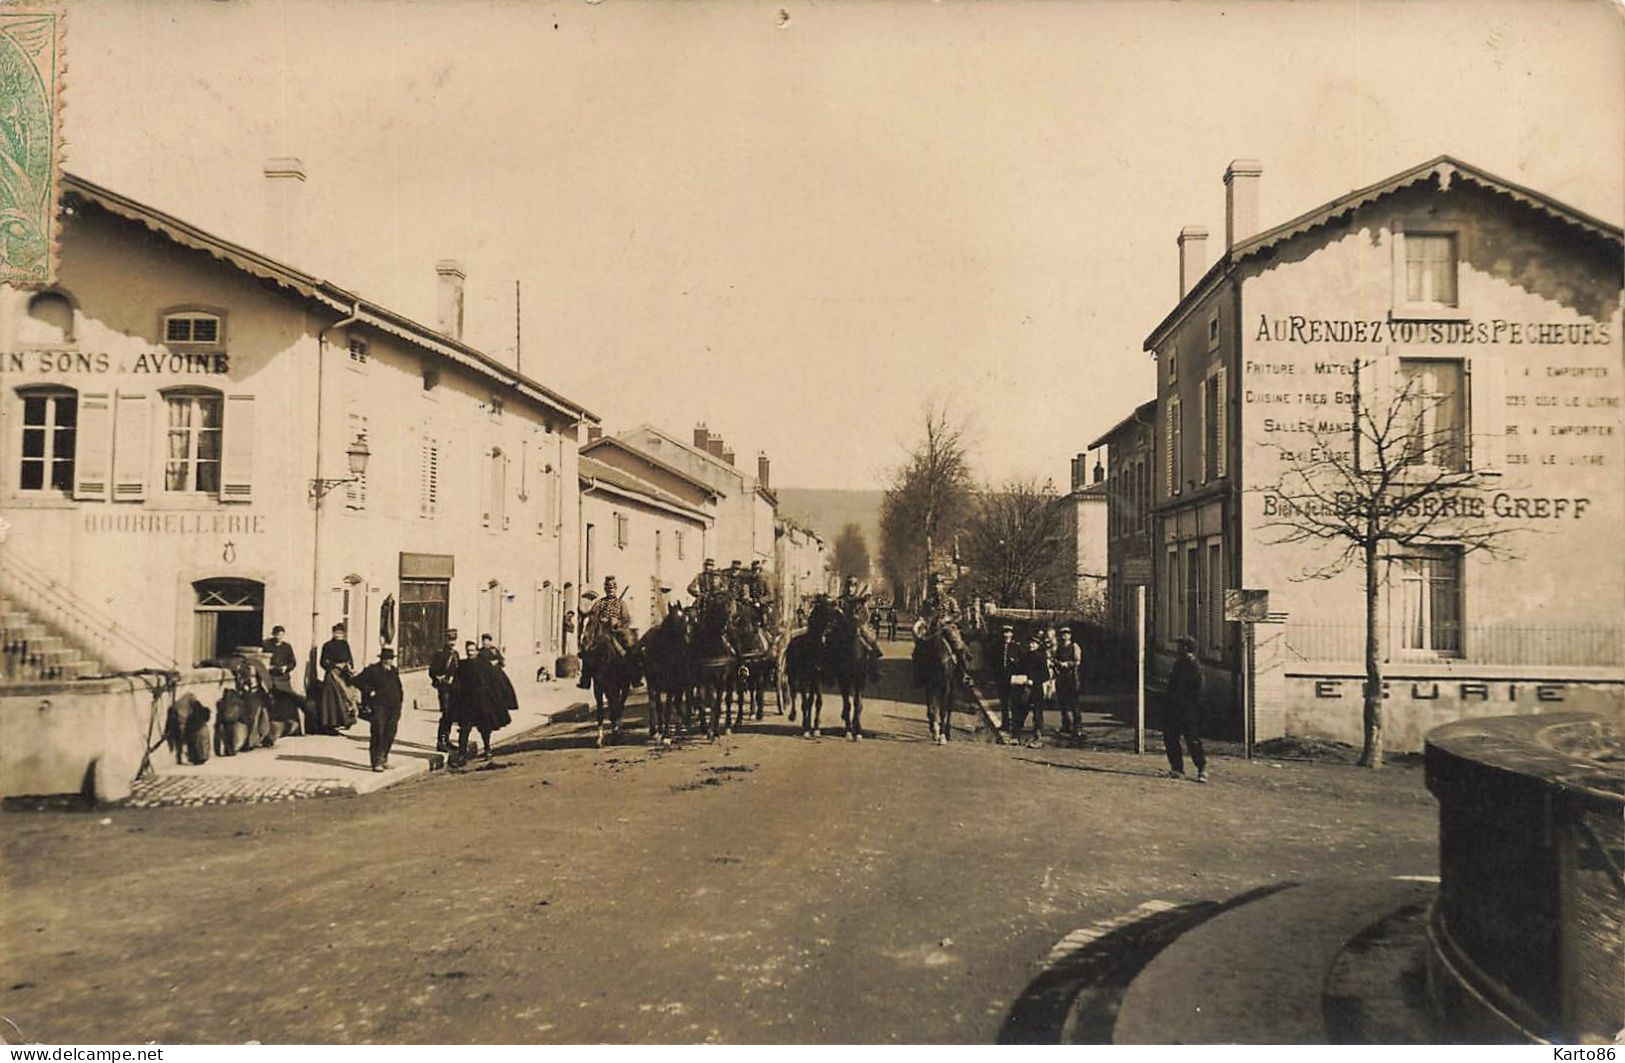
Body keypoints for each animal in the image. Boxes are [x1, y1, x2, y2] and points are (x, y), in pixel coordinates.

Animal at [640, 604, 692, 744]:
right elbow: (657, 706)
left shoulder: (672, 686)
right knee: (656, 704)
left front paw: (667, 735)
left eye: (686, 619)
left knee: (678, 703)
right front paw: (658, 732)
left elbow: (668, 709)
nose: (687, 641)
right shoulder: (655, 685)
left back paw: (680, 727)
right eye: (673, 619)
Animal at [809, 598, 871, 741]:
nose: (825, 634)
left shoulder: (859, 679)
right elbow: (821, 701)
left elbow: (857, 703)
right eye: (819, 613)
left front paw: (857, 731)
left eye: (861, 609)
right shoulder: (838, 678)